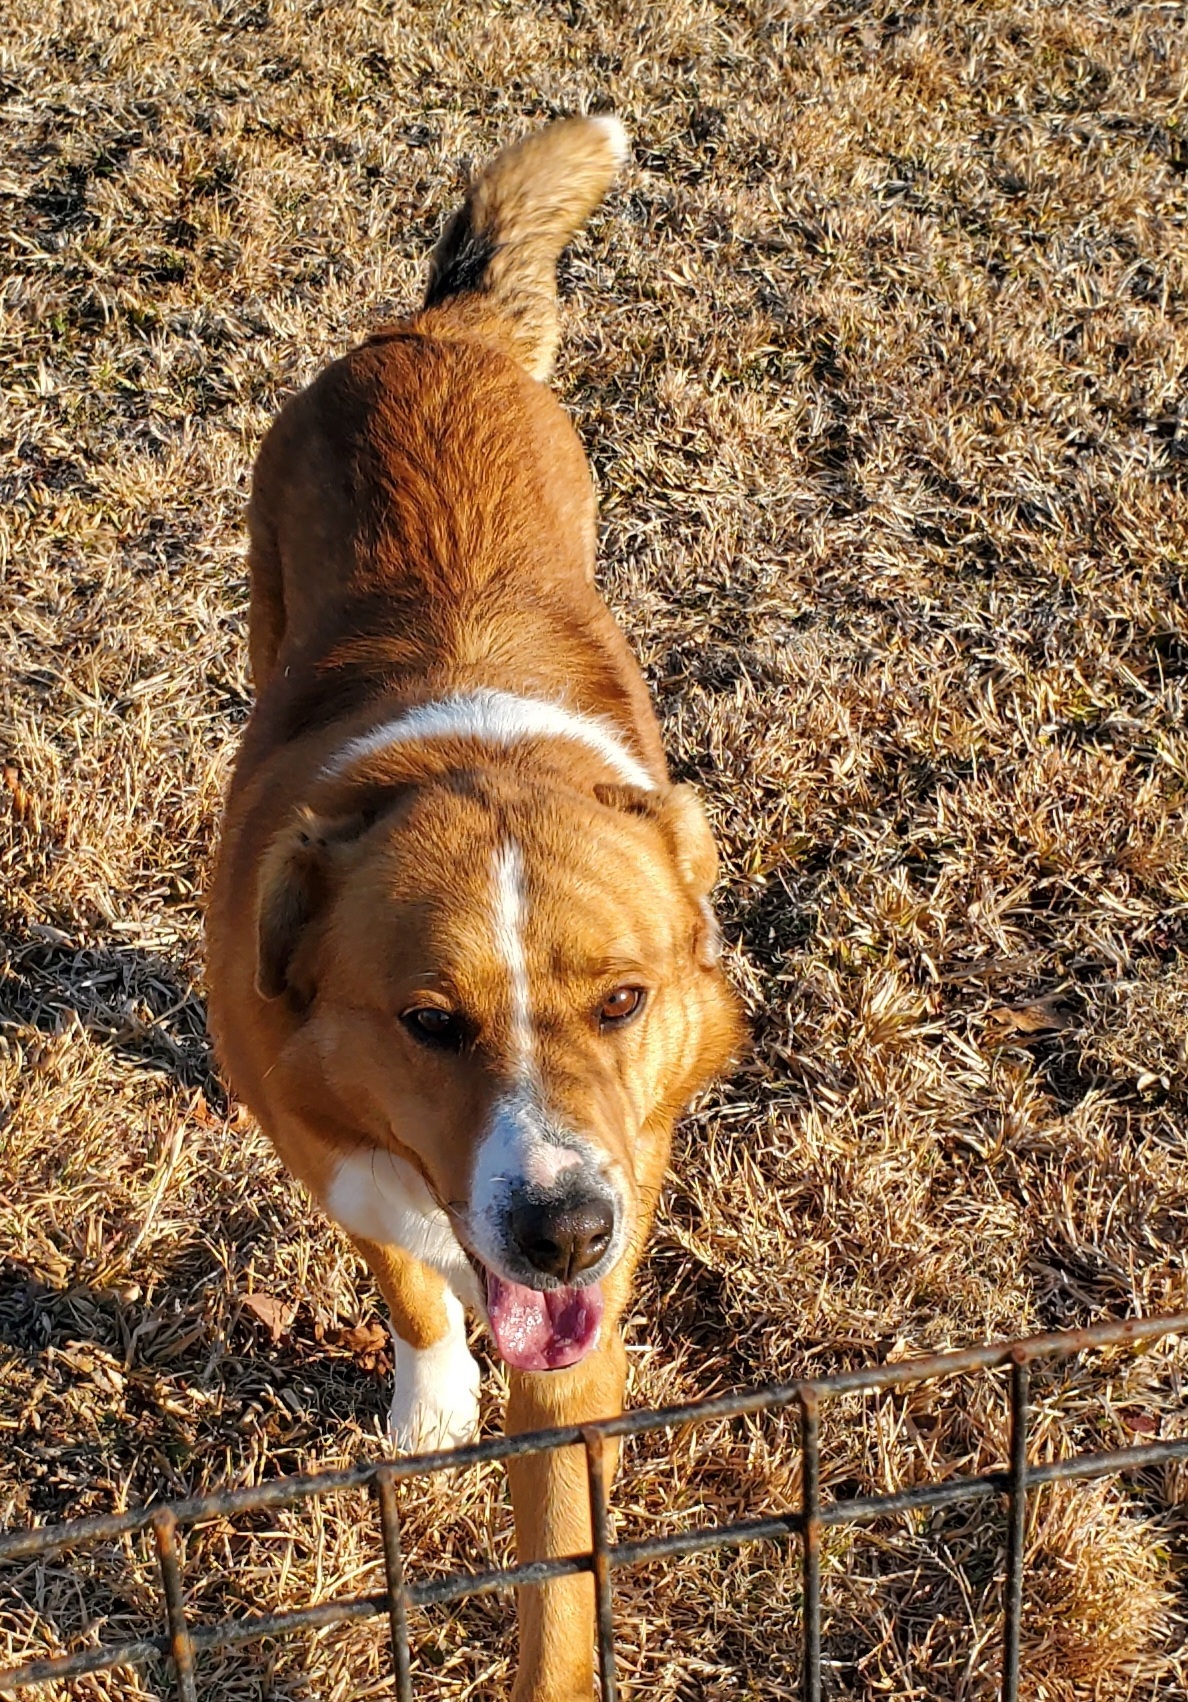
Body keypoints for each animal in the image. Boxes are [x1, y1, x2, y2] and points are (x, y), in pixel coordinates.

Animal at [205, 119, 742, 1702]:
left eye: (623, 1000)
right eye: (428, 1021)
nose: (564, 1231)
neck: (471, 752)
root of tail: (438, 333)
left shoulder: (584, 1311)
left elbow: (558, 1564)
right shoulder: (327, 1145)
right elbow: (405, 1276)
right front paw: (432, 1401)